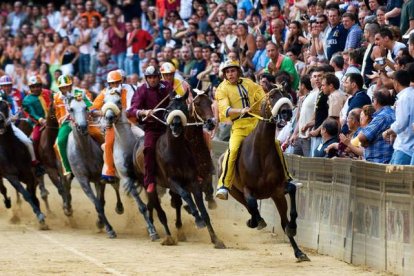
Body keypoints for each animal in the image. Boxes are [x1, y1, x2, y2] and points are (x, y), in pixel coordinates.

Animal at [0, 99, 47, 229]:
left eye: (5, 106)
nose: (1, 121)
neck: (11, 150)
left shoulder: (30, 175)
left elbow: (33, 196)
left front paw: (41, 217)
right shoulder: (11, 176)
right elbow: (26, 194)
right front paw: (40, 216)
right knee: (3, 189)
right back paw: (8, 203)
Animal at [66, 95, 123, 237]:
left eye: (86, 108)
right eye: (71, 109)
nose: (82, 127)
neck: (84, 151)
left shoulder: (99, 178)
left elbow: (101, 201)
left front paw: (103, 224)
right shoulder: (82, 179)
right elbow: (97, 203)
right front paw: (106, 226)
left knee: (115, 185)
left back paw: (119, 207)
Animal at [100, 89, 160, 240]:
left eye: (118, 101)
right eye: (104, 101)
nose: (108, 118)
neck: (128, 145)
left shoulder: (145, 178)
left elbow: (150, 203)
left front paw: (151, 228)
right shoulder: (127, 178)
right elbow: (142, 206)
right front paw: (152, 231)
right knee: (115, 185)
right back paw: (118, 209)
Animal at [135, 94, 226, 249]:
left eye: (184, 108)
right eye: (169, 108)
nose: (211, 123)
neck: (176, 151)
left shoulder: (194, 180)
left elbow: (202, 208)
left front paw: (216, 239)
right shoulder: (172, 181)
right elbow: (186, 196)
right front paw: (197, 219)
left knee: (160, 204)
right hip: (148, 182)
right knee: (157, 206)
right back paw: (162, 234)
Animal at [220, 85, 310, 260]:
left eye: (286, 94)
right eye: (273, 96)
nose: (287, 112)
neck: (260, 152)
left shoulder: (277, 190)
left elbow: (291, 191)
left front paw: (293, 229)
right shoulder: (248, 189)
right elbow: (252, 203)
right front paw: (255, 221)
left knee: (280, 219)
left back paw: (298, 250)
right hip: (234, 192)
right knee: (248, 205)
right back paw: (255, 220)